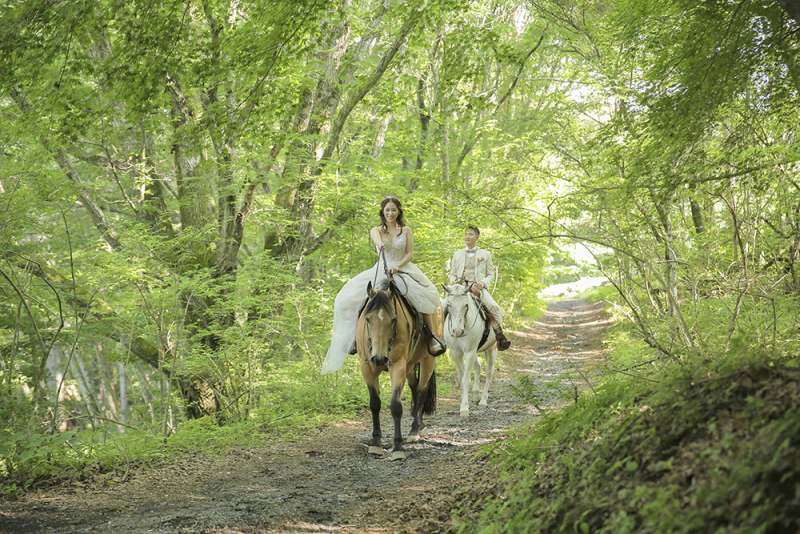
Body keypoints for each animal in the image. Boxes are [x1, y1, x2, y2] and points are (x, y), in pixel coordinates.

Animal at [358, 280, 440, 460]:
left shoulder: (397, 366)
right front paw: (375, 443)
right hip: (409, 366)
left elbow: (396, 406)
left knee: (421, 390)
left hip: (427, 359)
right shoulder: (367, 368)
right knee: (414, 387)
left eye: (393, 319)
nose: (379, 359)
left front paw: (397, 447)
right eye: (367, 319)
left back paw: (415, 430)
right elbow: (374, 404)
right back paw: (419, 425)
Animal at [440, 284, 496, 418]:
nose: (457, 332)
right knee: (478, 366)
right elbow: (461, 377)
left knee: (489, 372)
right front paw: (462, 401)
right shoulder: (456, 353)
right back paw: (476, 394)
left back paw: (483, 400)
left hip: (491, 349)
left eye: (465, 305)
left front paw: (464, 408)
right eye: (449, 304)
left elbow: (465, 380)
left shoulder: (469, 352)